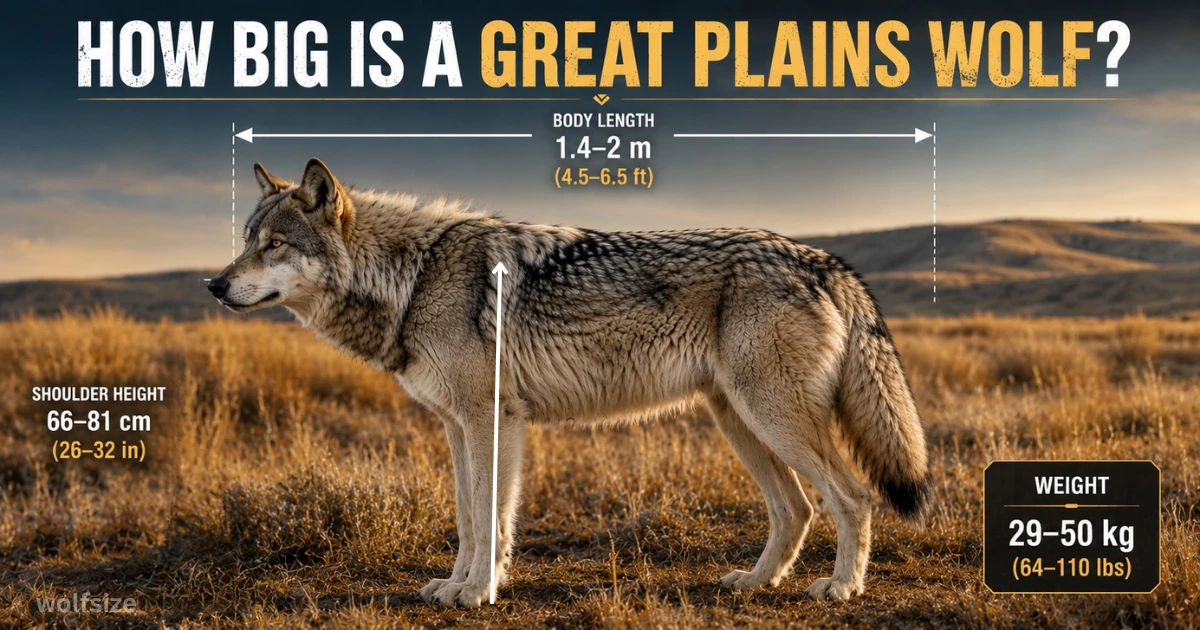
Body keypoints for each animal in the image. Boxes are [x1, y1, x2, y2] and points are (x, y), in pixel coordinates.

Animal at [208, 158, 930, 607]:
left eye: (274, 245)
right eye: (245, 240)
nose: (213, 284)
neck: (412, 277)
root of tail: (823, 258)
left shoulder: (491, 420)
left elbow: (489, 518)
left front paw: (476, 593)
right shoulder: (458, 425)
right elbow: (468, 517)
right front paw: (454, 586)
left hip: (773, 419)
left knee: (853, 496)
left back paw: (841, 589)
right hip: (742, 423)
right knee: (796, 509)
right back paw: (755, 583)